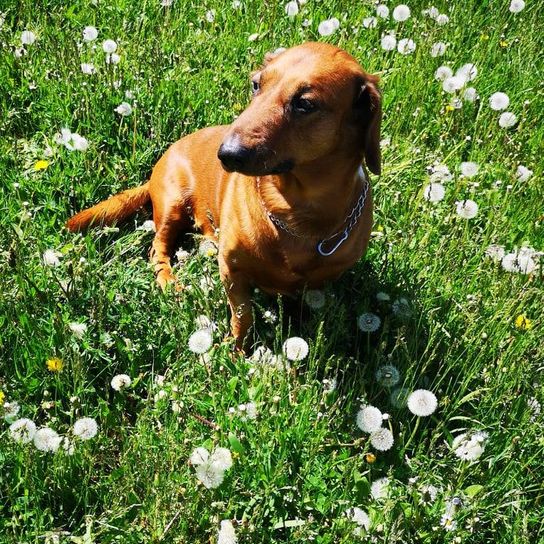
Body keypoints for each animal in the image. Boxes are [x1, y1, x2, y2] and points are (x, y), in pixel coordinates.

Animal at [67, 42, 382, 348]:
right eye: (256, 84)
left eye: (304, 103)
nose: (227, 154)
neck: (294, 211)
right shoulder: (232, 271)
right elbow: (243, 316)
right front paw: (236, 351)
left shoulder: (320, 283)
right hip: (172, 205)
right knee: (158, 248)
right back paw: (170, 282)